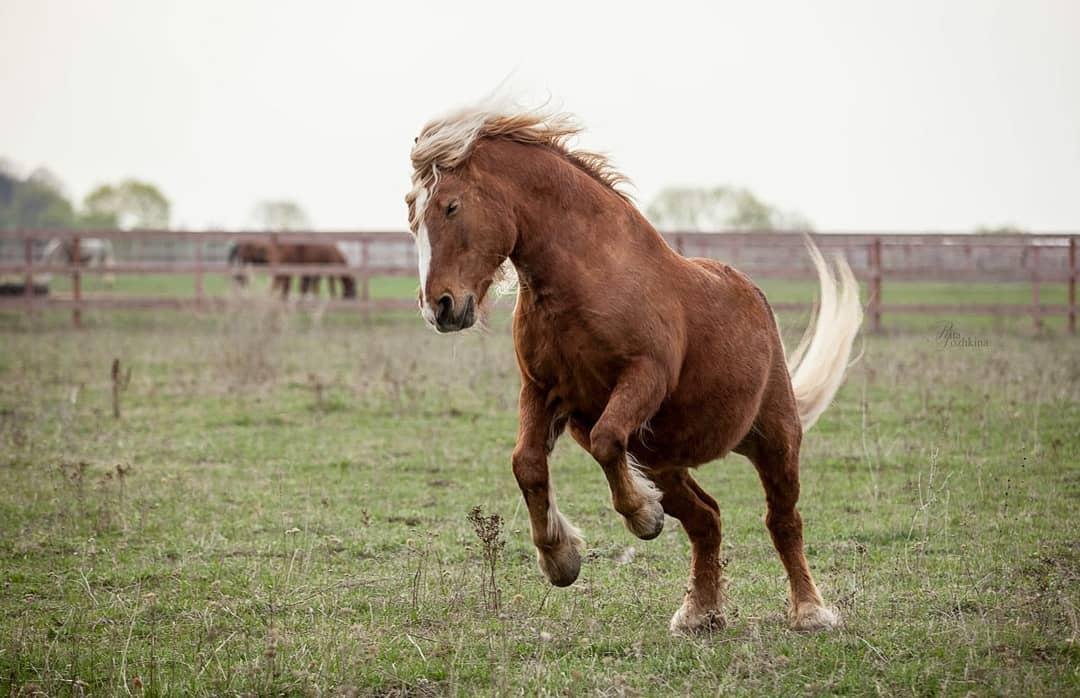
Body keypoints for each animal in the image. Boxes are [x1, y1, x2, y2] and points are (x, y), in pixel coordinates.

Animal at [405, 102, 862, 635]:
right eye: (411, 214)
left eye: (451, 207)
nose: (439, 308)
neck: (589, 275)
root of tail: (753, 296)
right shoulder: (542, 390)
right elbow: (527, 464)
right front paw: (560, 558)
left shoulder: (645, 377)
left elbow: (606, 441)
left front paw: (643, 517)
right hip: (663, 459)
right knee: (706, 518)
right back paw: (699, 612)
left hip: (775, 437)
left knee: (783, 520)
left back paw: (809, 612)